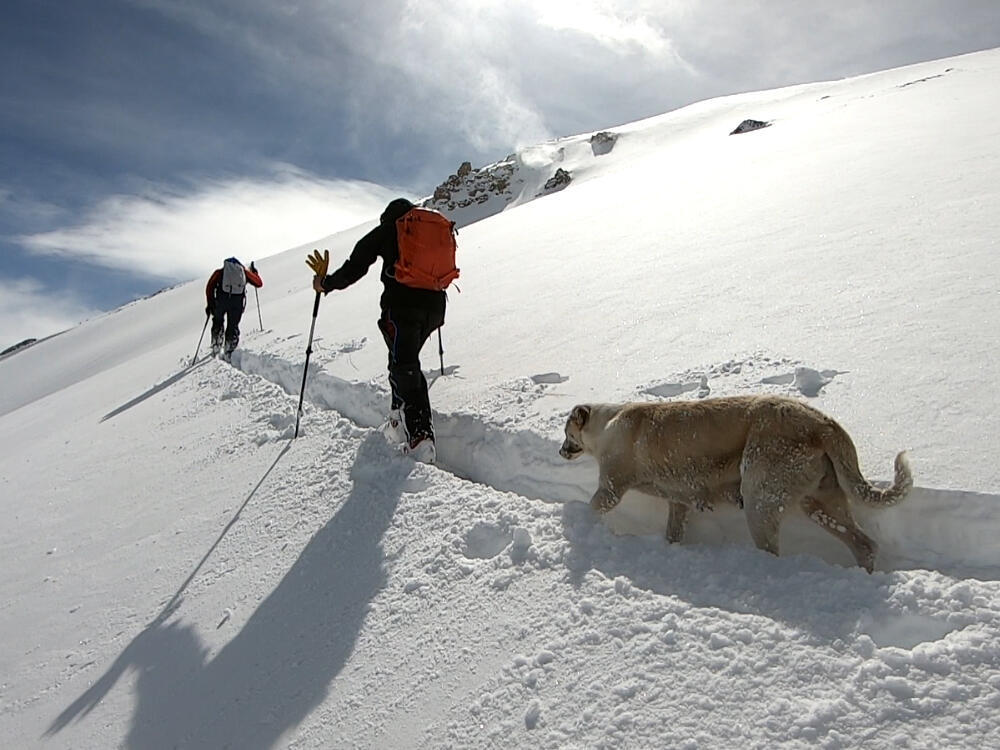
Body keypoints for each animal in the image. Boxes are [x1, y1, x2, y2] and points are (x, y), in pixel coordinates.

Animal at [564, 396, 916, 572]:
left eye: (567, 433)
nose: (561, 450)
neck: (605, 425)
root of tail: (824, 423)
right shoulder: (679, 502)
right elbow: (674, 530)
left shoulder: (612, 487)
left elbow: (593, 504)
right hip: (822, 502)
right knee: (864, 544)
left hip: (761, 498)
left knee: (772, 548)